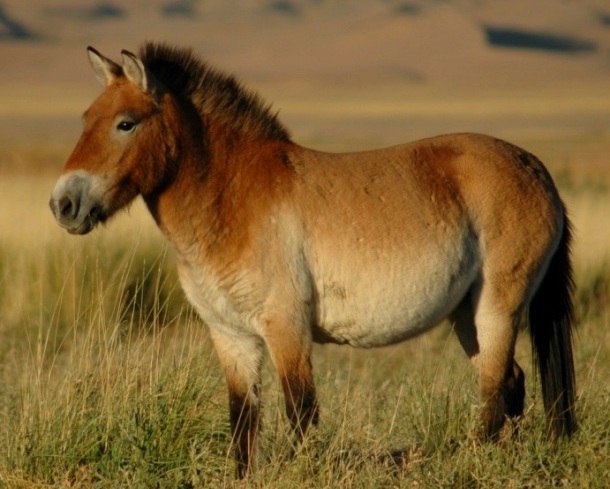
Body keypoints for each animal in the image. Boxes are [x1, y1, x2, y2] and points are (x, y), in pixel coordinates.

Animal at [48, 42, 576, 476]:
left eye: (126, 123)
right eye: (85, 119)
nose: (63, 205)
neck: (232, 200)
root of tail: (535, 168)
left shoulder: (286, 328)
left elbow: (301, 414)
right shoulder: (231, 335)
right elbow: (243, 422)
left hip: (497, 308)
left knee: (495, 391)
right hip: (466, 315)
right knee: (510, 382)